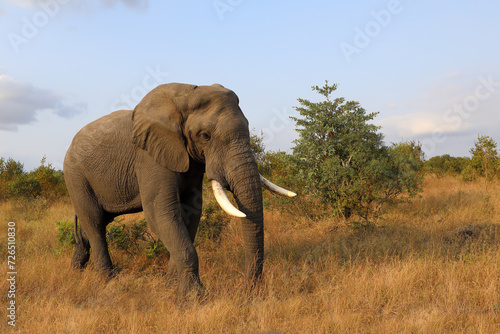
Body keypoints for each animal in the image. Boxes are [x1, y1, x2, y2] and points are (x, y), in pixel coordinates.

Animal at [64, 83, 294, 294]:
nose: (246, 289)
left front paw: (172, 286)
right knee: (94, 222)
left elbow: (189, 213)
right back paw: (107, 280)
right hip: (76, 176)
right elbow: (160, 213)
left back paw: (76, 271)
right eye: (205, 136)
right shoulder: (149, 156)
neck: (186, 95)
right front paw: (193, 296)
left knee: (98, 222)